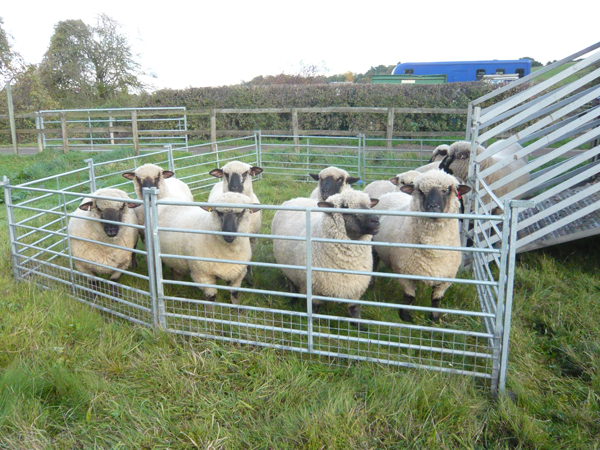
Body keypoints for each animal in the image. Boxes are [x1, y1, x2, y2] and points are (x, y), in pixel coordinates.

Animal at [272, 189, 380, 324]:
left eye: (369, 205)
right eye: (345, 206)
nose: (376, 220)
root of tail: (294, 198)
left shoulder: (355, 289)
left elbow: (354, 310)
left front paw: (360, 326)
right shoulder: (314, 290)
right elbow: (314, 310)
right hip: (287, 269)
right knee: (291, 284)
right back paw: (292, 301)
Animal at [372, 171, 472, 322]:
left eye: (448, 189)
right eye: (420, 190)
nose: (433, 207)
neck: (434, 250)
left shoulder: (445, 278)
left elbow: (436, 299)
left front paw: (435, 319)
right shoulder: (405, 273)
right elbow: (409, 297)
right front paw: (405, 317)